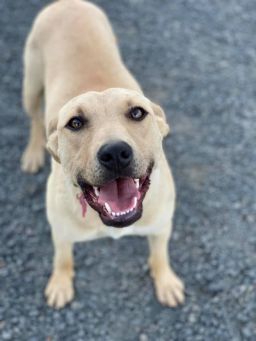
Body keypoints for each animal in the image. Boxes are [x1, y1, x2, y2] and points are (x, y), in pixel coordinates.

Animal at [21, 0, 184, 308]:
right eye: (75, 123)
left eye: (137, 113)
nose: (115, 152)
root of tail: (66, 3)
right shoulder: (60, 231)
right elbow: (63, 258)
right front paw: (60, 283)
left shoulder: (161, 226)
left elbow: (160, 255)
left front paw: (166, 281)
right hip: (31, 86)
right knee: (35, 120)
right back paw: (33, 152)